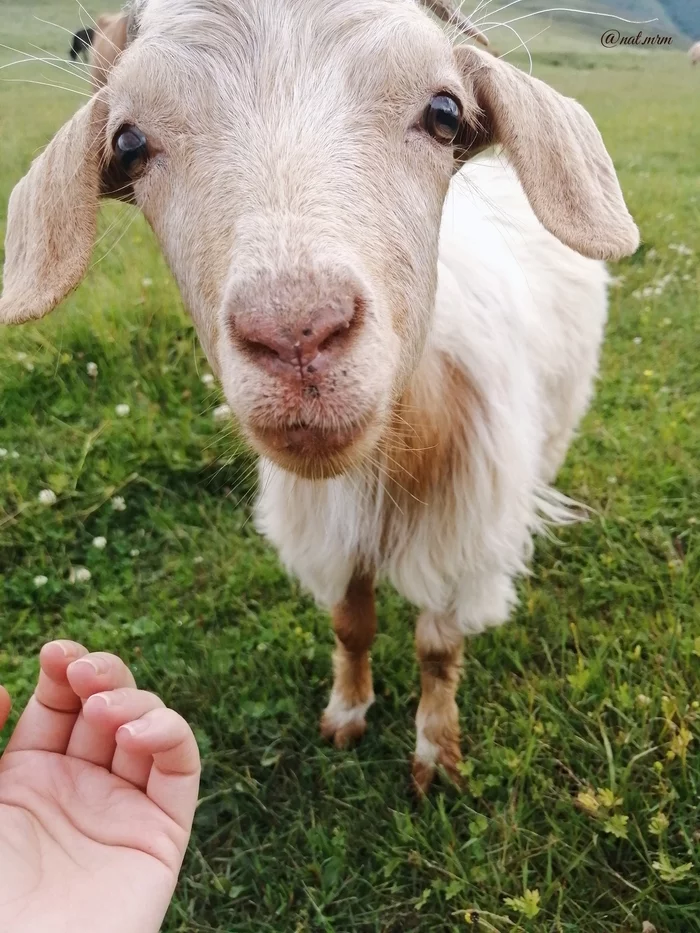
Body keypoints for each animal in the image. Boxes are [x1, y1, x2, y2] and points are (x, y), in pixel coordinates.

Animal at [0, 0, 636, 792]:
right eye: (129, 142)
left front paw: (435, 753)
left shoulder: (460, 537)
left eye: (445, 111)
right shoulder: (333, 533)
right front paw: (347, 712)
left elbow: (436, 648)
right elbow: (351, 624)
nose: (297, 332)